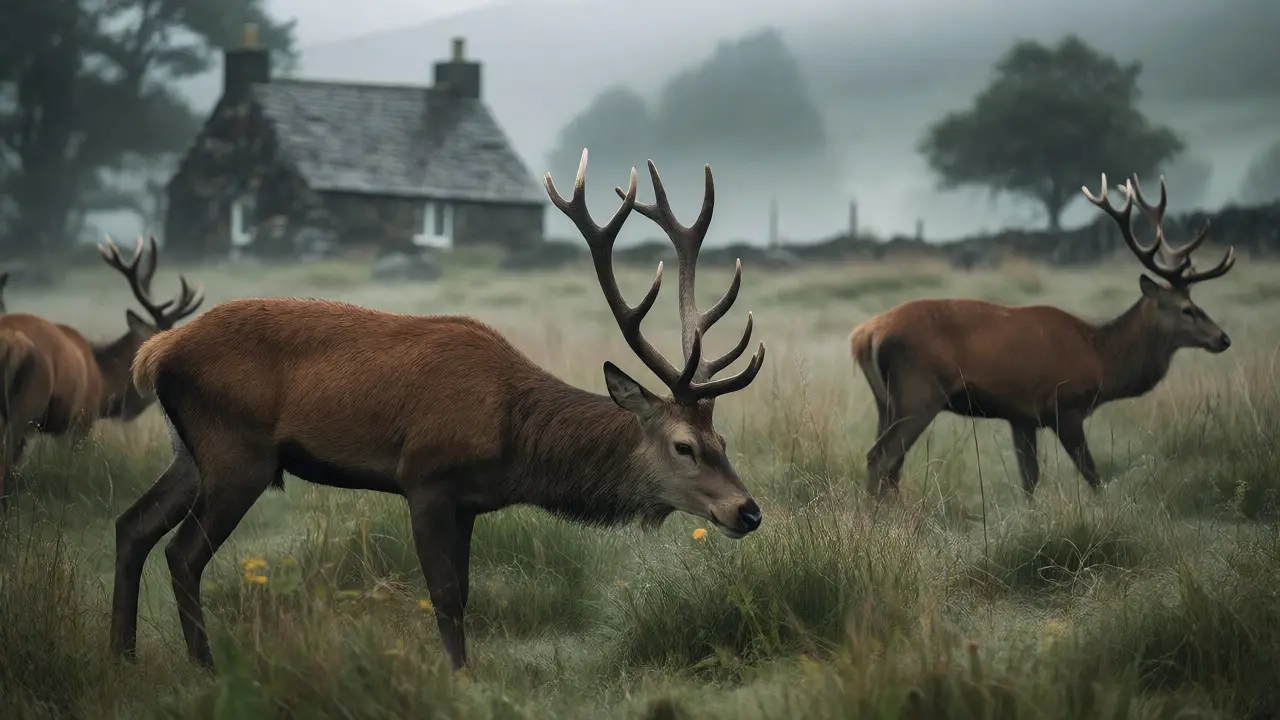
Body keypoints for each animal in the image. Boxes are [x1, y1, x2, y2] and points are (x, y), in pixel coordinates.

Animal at [110, 148, 768, 674]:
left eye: (725, 444)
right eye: (684, 446)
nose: (749, 511)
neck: (513, 439)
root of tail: (155, 352)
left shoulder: (470, 502)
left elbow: (467, 592)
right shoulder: (424, 478)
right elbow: (445, 596)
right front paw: (459, 678)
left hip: (188, 451)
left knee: (132, 525)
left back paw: (122, 655)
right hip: (236, 453)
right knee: (182, 553)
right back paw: (204, 667)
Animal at [849, 173, 1236, 499]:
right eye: (1186, 308)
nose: (1223, 339)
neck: (1102, 359)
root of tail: (865, 335)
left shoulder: (1021, 417)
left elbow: (1030, 480)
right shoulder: (1065, 406)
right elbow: (1093, 476)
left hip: (886, 400)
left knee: (889, 462)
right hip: (920, 391)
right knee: (881, 456)